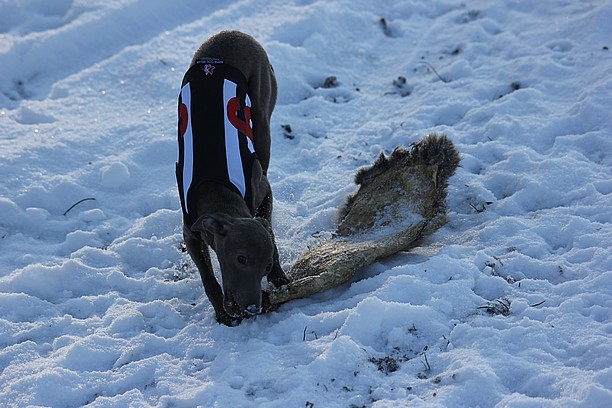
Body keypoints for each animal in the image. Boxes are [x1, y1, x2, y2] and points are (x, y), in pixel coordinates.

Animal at [177, 31, 290, 326]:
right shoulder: (190, 232)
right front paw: (221, 313)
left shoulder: (263, 191)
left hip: (261, 116)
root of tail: (237, 34)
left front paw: (279, 278)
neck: (218, 188)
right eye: (241, 259)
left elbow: (269, 228)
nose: (253, 308)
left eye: (266, 266)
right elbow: (207, 277)